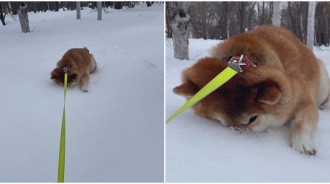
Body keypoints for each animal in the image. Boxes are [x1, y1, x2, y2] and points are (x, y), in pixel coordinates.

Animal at [174, 25, 328, 155]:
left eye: (252, 120)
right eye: (222, 124)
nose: (238, 132)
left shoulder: (304, 101)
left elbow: (302, 122)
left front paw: (302, 143)